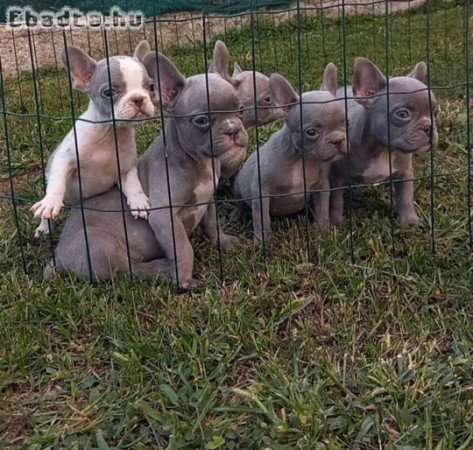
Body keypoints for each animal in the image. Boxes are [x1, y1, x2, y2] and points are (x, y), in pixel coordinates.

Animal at [31, 41, 157, 237]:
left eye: (150, 87)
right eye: (109, 92)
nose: (138, 99)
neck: (109, 134)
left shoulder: (126, 168)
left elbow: (133, 183)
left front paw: (139, 201)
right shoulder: (64, 158)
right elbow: (57, 181)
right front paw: (50, 202)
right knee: (48, 215)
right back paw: (44, 227)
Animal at [43, 51, 247, 286]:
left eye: (241, 110)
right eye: (202, 120)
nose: (233, 130)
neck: (196, 160)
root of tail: (58, 255)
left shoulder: (208, 200)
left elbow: (212, 225)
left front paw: (224, 242)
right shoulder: (164, 216)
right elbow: (184, 248)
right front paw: (184, 279)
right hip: (100, 247)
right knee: (129, 270)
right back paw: (163, 268)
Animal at [232, 63, 346, 243]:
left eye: (345, 122)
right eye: (311, 132)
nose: (338, 140)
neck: (301, 159)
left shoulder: (321, 187)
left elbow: (322, 209)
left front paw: (323, 232)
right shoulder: (261, 193)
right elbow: (262, 220)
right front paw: (262, 242)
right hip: (238, 186)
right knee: (240, 204)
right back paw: (237, 214)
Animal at [326, 57, 436, 225]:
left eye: (435, 112)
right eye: (402, 114)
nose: (428, 127)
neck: (383, 149)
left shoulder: (405, 173)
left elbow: (406, 197)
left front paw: (409, 221)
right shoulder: (336, 177)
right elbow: (336, 201)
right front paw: (336, 224)